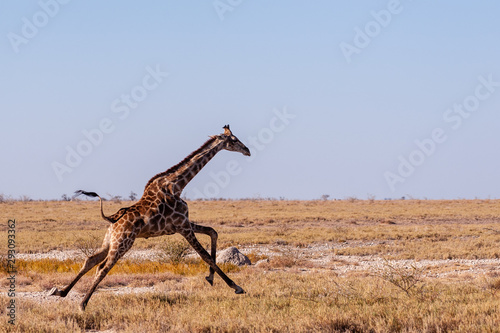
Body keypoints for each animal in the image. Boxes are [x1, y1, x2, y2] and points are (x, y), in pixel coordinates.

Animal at [49, 124, 250, 308]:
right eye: (234, 139)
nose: (247, 150)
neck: (176, 186)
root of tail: (112, 219)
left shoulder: (181, 224)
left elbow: (212, 232)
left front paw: (210, 278)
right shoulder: (183, 226)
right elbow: (205, 255)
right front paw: (236, 287)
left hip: (110, 240)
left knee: (91, 260)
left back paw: (61, 292)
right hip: (123, 242)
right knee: (103, 267)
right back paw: (82, 303)